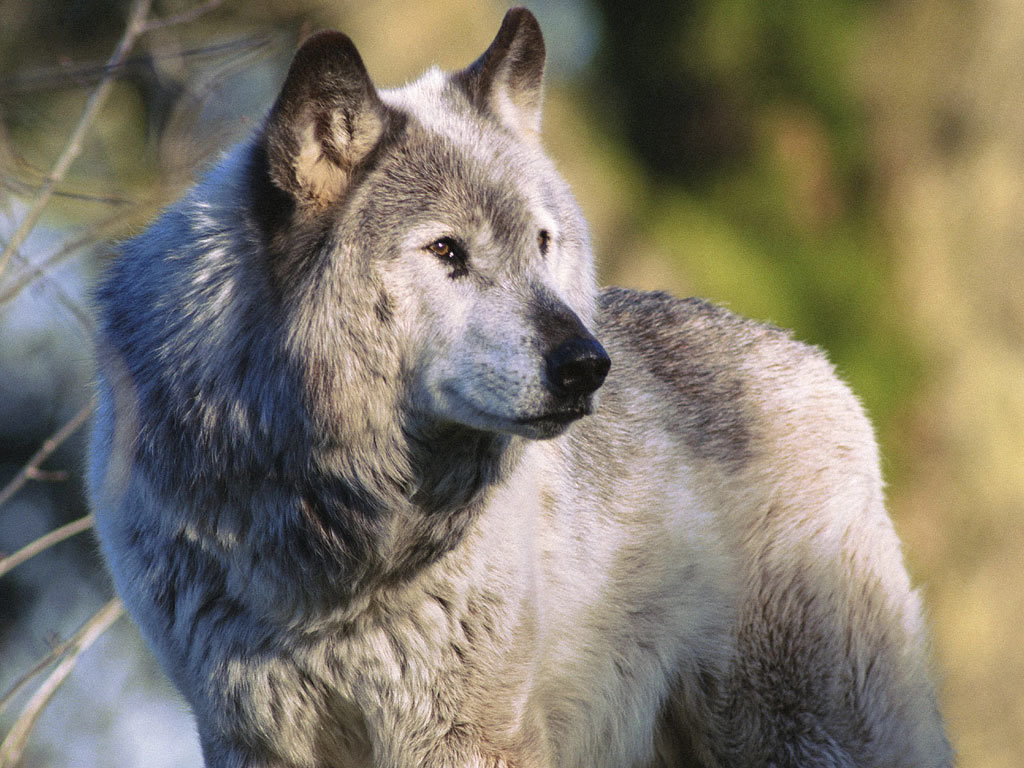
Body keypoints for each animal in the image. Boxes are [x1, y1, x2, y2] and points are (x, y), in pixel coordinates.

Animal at [88, 7, 951, 767]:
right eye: (446, 250)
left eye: (542, 243)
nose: (587, 365)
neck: (329, 531)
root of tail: (814, 361)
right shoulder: (250, 735)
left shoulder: (463, 734)